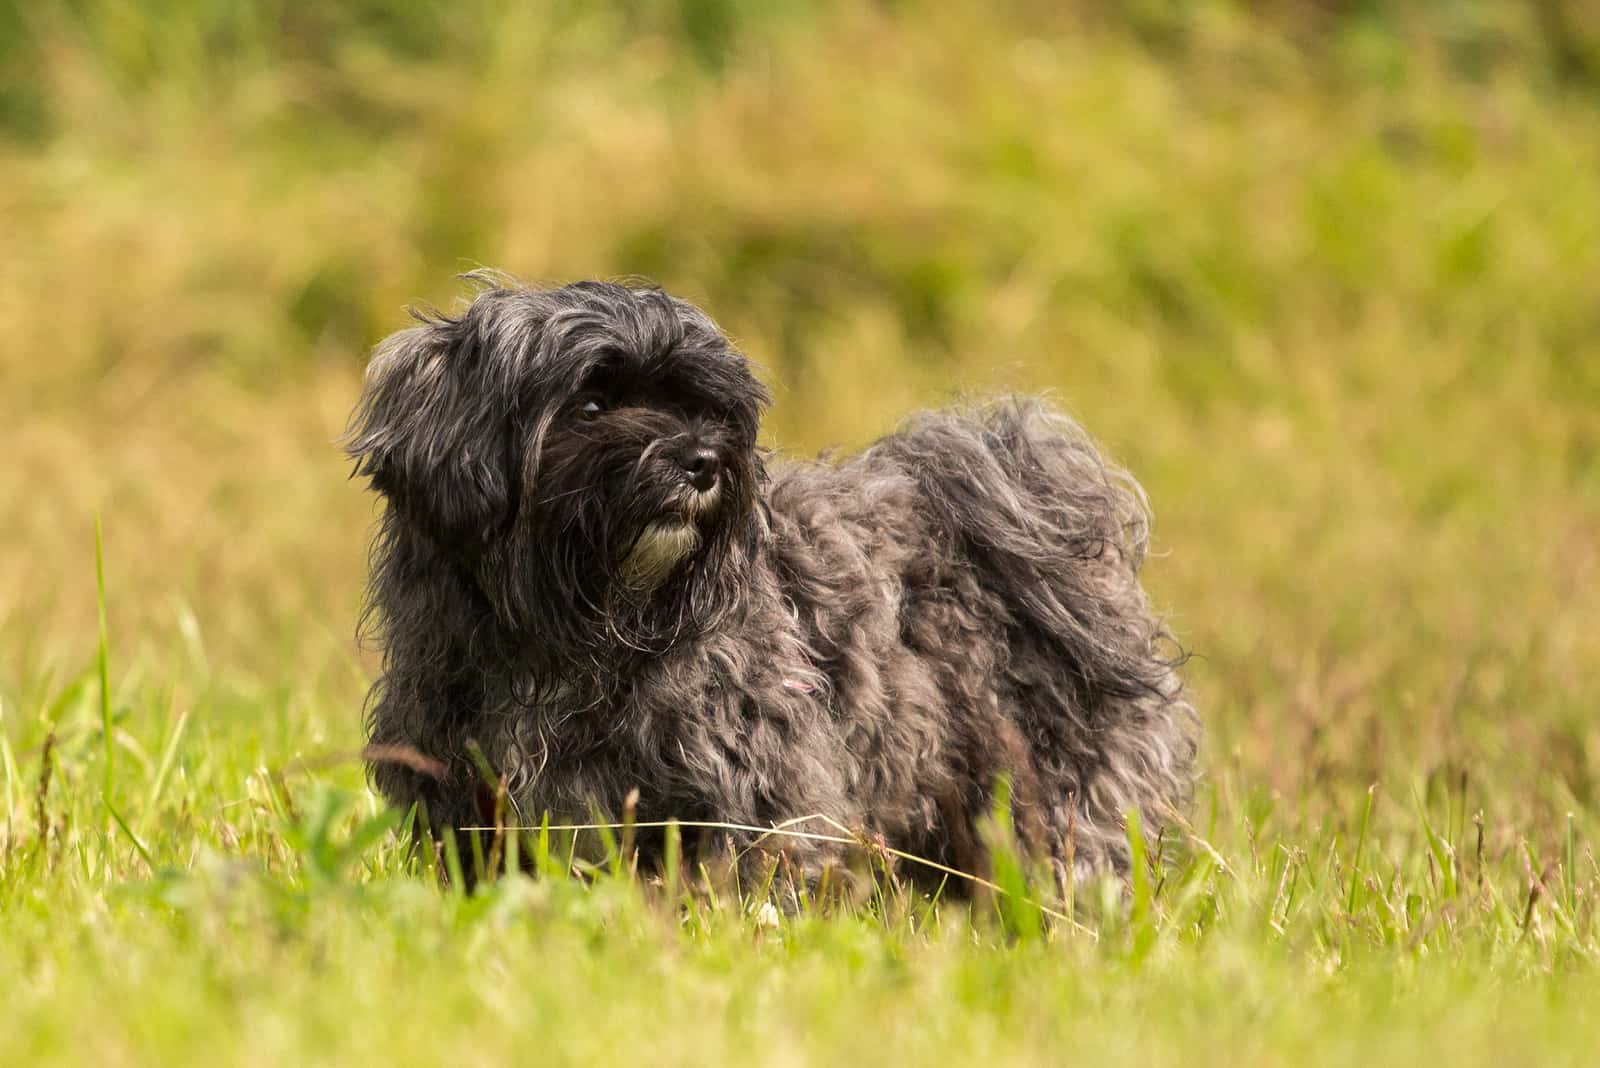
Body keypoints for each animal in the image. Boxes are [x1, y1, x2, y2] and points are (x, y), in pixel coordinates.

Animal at [350, 273, 1203, 882]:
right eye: (589, 406)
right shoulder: (467, 805)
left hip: (1052, 802)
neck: (579, 630)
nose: (702, 460)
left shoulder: (758, 793)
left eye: (701, 409)